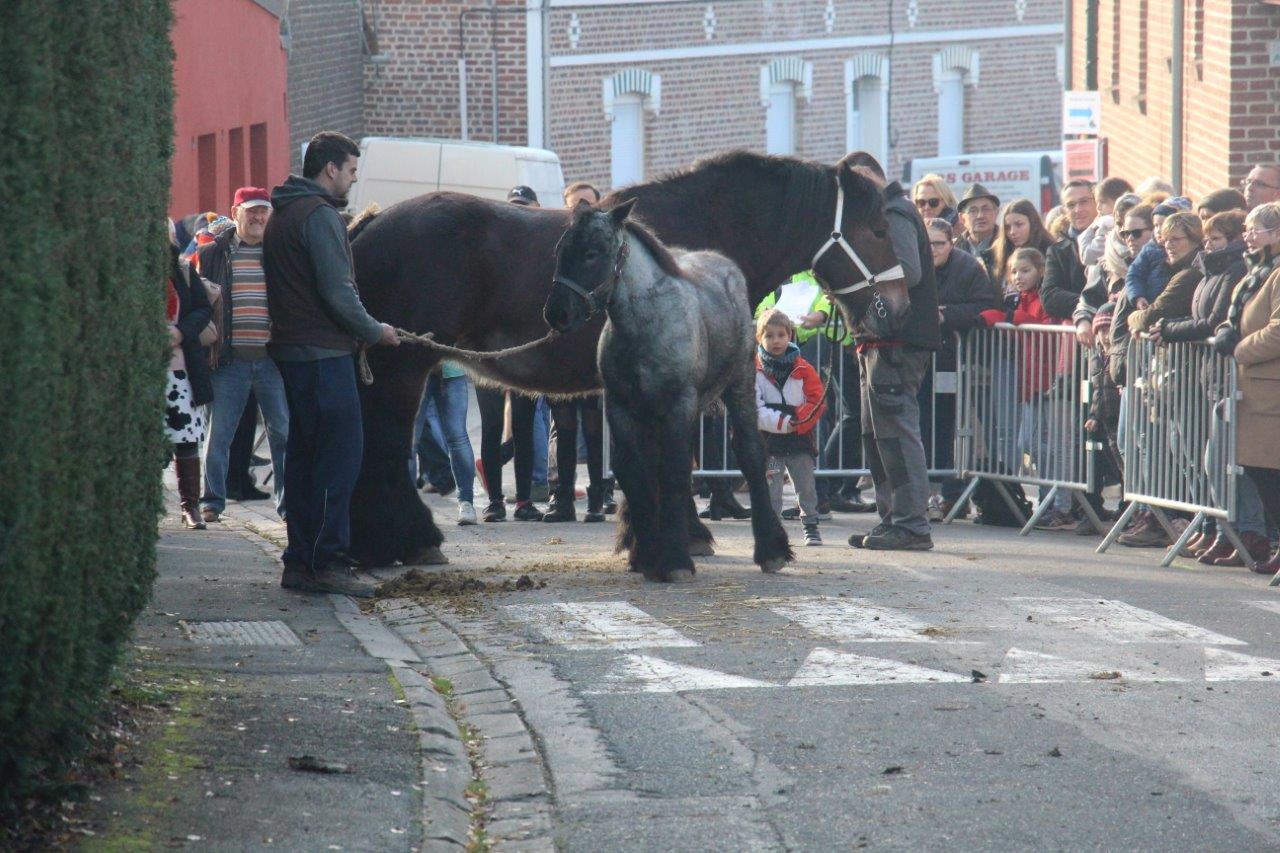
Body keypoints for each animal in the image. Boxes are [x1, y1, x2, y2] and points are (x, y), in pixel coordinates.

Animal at [353, 150, 911, 568]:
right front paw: (682, 536)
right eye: (878, 231)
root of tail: (369, 223)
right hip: (405, 367)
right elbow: (675, 460)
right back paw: (415, 539)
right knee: (386, 445)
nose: (900, 305)